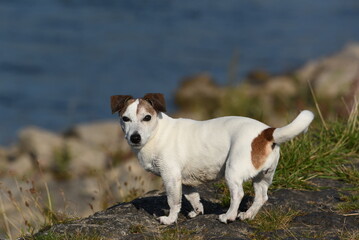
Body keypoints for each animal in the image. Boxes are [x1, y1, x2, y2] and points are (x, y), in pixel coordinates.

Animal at [110, 93, 316, 224]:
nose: (134, 137)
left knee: (238, 194)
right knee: (261, 197)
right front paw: (197, 212)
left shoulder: (171, 177)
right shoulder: (186, 182)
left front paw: (169, 220)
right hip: (263, 177)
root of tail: (266, 132)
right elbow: (193, 197)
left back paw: (228, 216)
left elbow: (174, 201)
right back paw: (247, 215)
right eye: (125, 119)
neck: (157, 133)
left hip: (233, 171)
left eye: (147, 117)